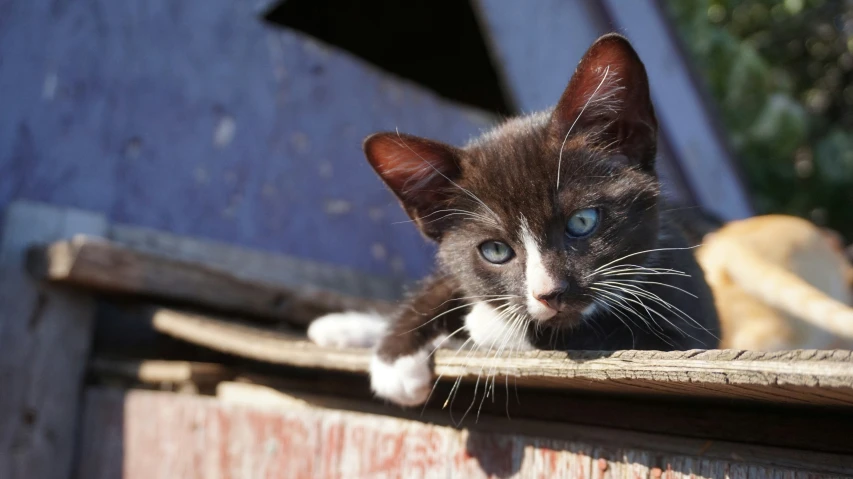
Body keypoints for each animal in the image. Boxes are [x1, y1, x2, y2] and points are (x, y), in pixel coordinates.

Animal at [308, 33, 720, 406]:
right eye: (495, 251)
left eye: (582, 222)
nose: (550, 293)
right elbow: (448, 283)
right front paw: (395, 354)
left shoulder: (685, 321)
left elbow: (607, 331)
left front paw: (484, 323)